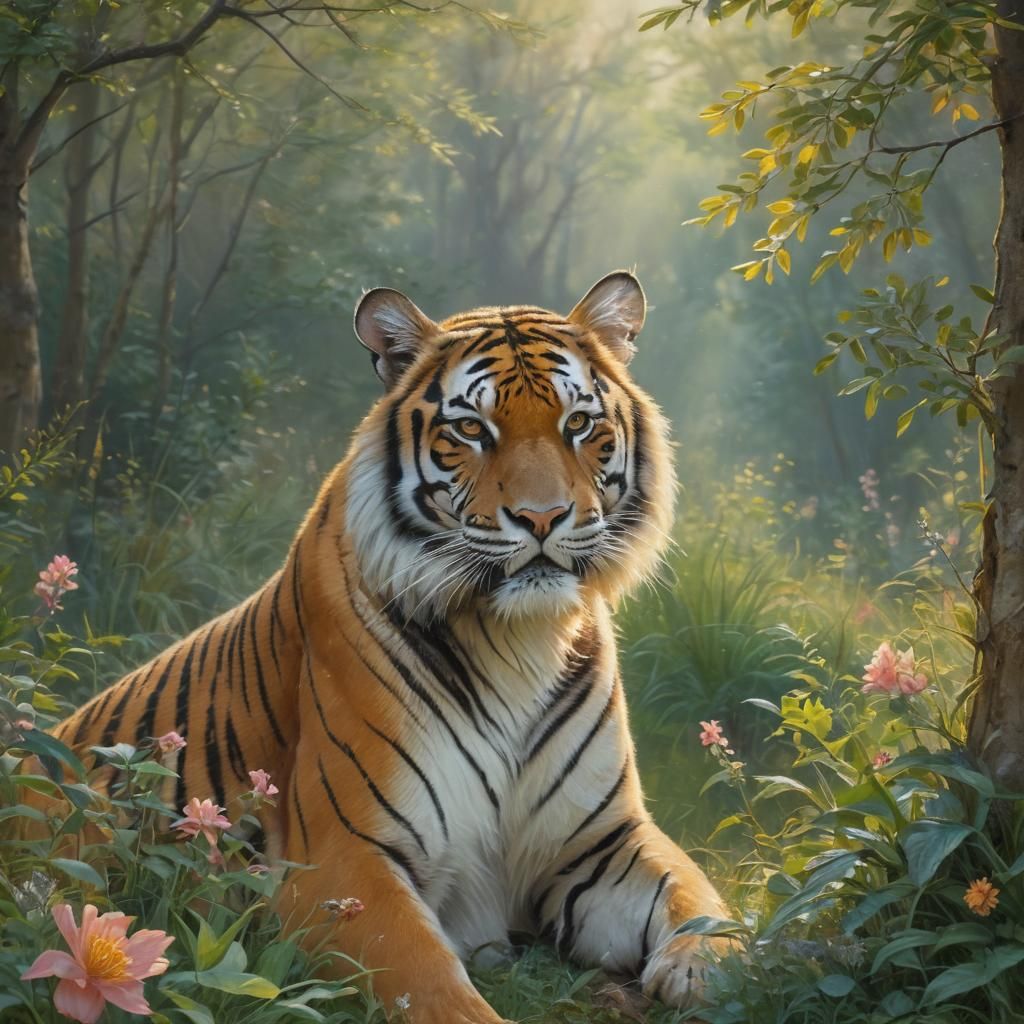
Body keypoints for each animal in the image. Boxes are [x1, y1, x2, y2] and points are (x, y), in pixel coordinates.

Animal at [51, 271, 731, 1023]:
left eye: (577, 424)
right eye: (472, 429)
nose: (543, 518)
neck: (519, 638)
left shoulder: (603, 842)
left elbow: (698, 896)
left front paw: (704, 970)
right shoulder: (343, 863)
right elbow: (436, 987)